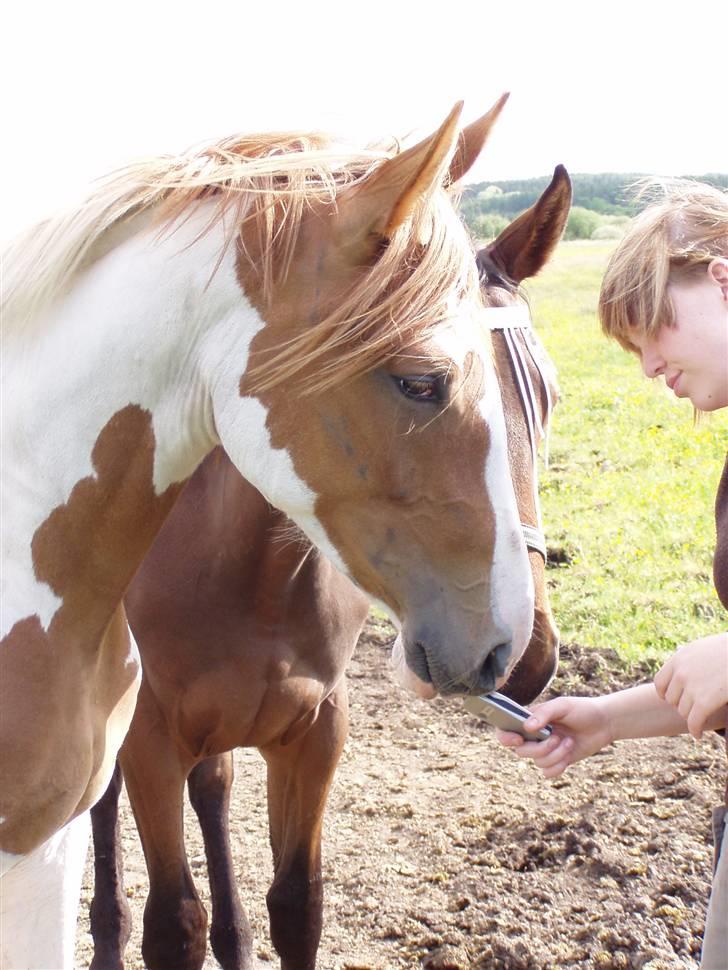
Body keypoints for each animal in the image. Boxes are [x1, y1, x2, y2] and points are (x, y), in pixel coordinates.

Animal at [0, 98, 544, 968]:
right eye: (422, 382)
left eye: (544, 389)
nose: (508, 645)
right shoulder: (139, 750)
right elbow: (173, 922)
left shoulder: (310, 730)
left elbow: (297, 904)